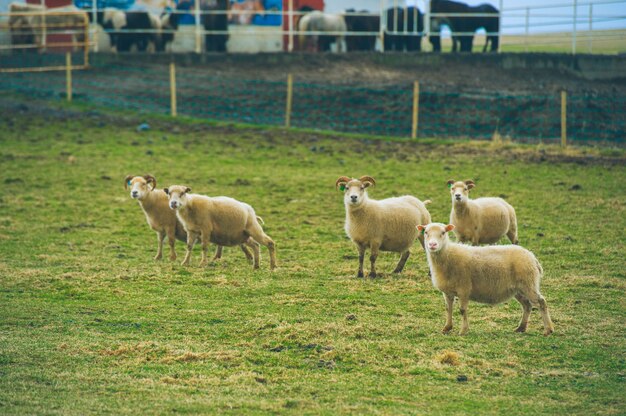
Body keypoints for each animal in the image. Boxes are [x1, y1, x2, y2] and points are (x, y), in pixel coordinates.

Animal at [123, 176, 252, 264]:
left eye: (144, 183)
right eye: (131, 184)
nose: (134, 193)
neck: (154, 199)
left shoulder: (170, 225)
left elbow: (171, 242)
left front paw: (172, 258)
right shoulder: (160, 229)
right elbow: (160, 242)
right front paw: (158, 257)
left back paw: (248, 256)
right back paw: (218, 257)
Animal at [414, 223, 552, 336]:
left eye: (443, 233)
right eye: (426, 232)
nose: (432, 245)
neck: (448, 256)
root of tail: (532, 257)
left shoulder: (464, 289)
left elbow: (462, 310)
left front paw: (463, 330)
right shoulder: (447, 291)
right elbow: (448, 309)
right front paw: (447, 328)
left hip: (528, 284)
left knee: (541, 302)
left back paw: (548, 330)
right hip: (518, 289)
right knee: (527, 306)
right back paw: (521, 328)